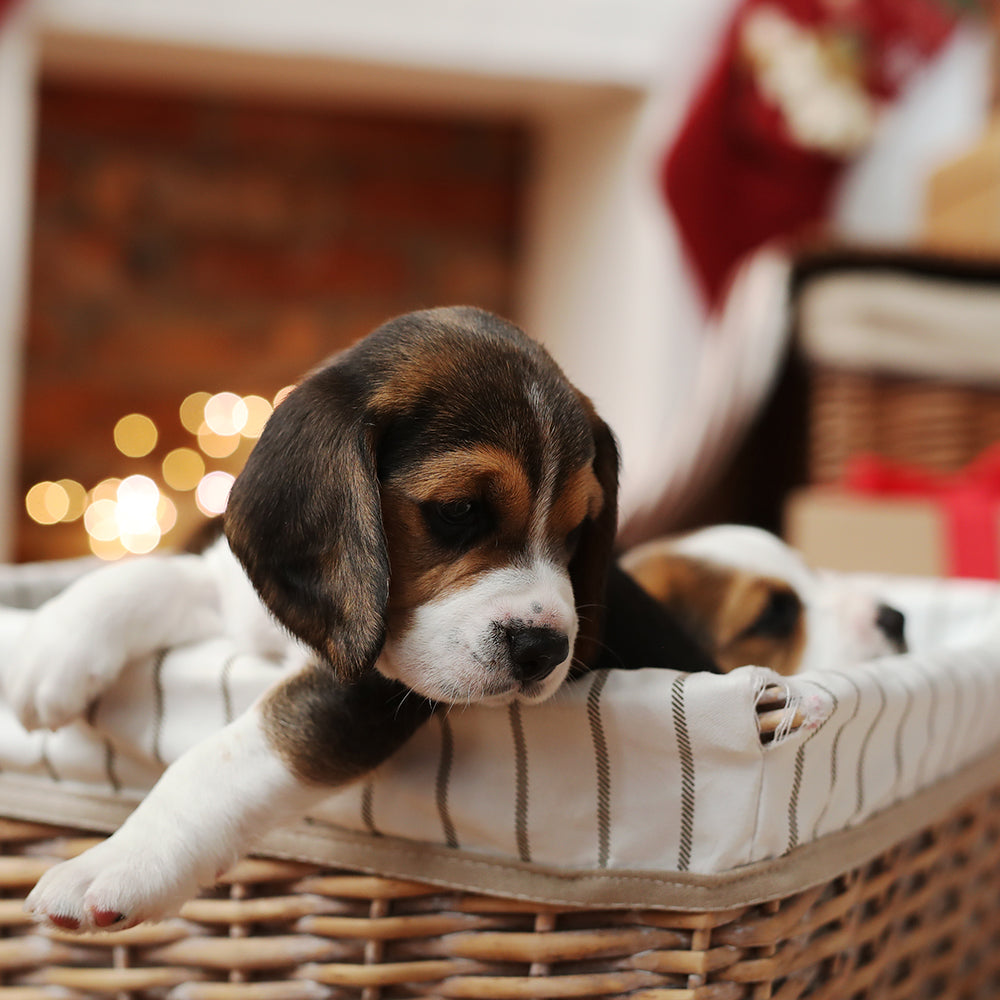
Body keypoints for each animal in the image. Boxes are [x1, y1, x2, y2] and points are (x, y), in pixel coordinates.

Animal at [11, 304, 712, 928]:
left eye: (577, 531)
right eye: (459, 510)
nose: (545, 651)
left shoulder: (362, 691)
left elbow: (230, 755)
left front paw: (117, 862)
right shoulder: (246, 605)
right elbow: (159, 575)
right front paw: (51, 648)